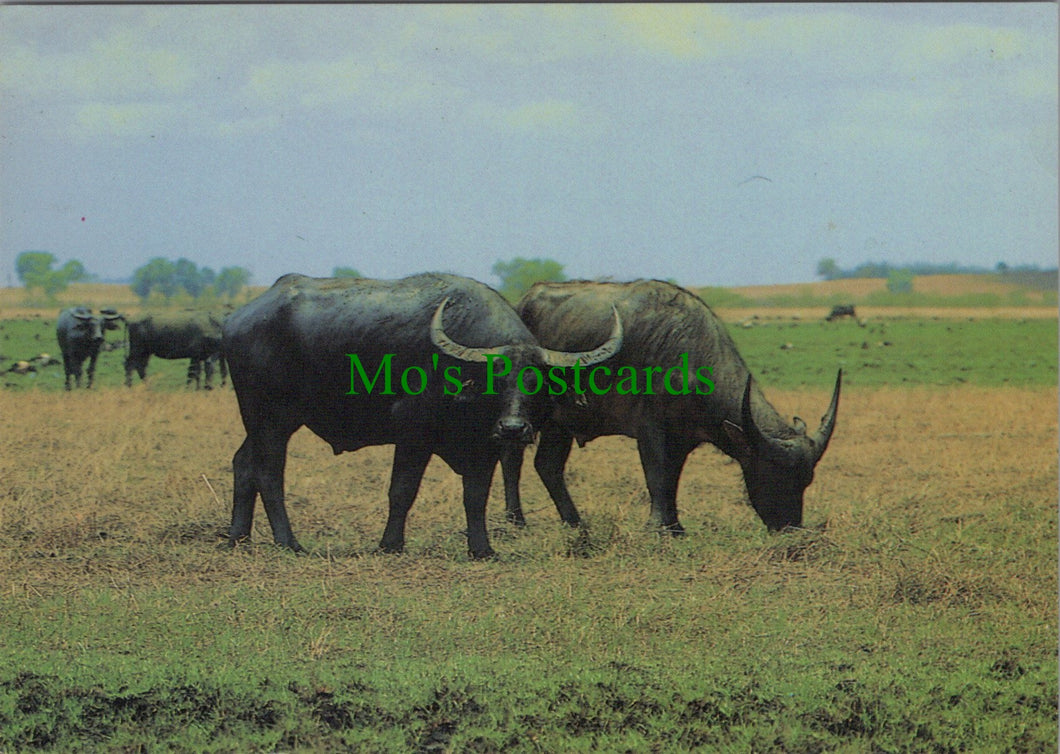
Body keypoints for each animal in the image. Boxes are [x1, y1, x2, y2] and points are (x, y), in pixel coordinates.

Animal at [222, 272, 621, 559]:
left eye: (537, 382)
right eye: (497, 380)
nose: (513, 428)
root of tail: (236, 320)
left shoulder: (485, 446)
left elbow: (476, 495)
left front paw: (482, 549)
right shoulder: (412, 433)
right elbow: (403, 489)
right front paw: (390, 544)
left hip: (264, 422)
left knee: (243, 463)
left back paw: (238, 538)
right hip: (270, 419)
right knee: (268, 473)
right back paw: (289, 543)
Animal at [501, 279, 841, 534]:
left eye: (806, 480)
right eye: (774, 473)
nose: (790, 528)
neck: (688, 356)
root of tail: (522, 303)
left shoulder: (683, 439)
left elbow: (672, 478)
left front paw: (675, 526)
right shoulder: (650, 429)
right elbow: (656, 475)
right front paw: (657, 526)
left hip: (559, 424)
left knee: (547, 465)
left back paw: (575, 522)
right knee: (512, 459)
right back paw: (516, 520)